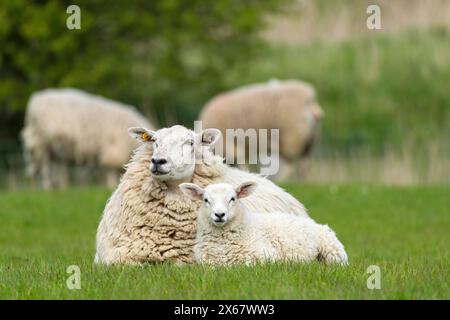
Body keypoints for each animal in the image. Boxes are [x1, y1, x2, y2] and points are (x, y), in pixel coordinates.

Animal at [21, 88, 155, 188]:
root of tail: (34, 102)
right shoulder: (113, 149)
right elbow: (111, 170)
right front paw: (111, 184)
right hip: (40, 144)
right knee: (45, 167)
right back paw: (47, 186)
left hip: (51, 147)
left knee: (53, 167)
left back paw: (59, 186)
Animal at [179, 181, 348, 266]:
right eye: (206, 200)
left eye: (233, 198)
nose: (219, 215)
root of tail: (310, 221)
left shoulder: (266, 256)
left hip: (334, 252)